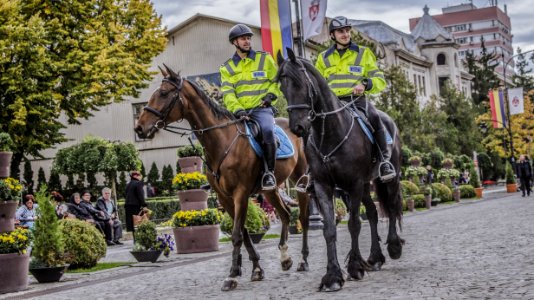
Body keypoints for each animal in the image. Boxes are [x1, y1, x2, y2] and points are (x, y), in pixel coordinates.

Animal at [136, 65, 312, 290]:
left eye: (164, 93)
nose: (140, 128)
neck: (222, 141)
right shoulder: (224, 197)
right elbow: (243, 232)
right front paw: (255, 269)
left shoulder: (241, 194)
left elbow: (237, 234)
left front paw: (232, 275)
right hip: (270, 190)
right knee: (285, 214)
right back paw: (285, 257)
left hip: (300, 179)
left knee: (303, 218)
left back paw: (303, 260)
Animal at [278, 48, 404, 290]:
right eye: (281, 86)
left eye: (299, 83)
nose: (298, 127)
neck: (331, 132)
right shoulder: (324, 186)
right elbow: (329, 230)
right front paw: (333, 275)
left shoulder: (353, 184)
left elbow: (354, 224)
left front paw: (354, 267)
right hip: (361, 187)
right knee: (373, 213)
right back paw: (375, 257)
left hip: (386, 179)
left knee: (392, 206)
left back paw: (393, 247)